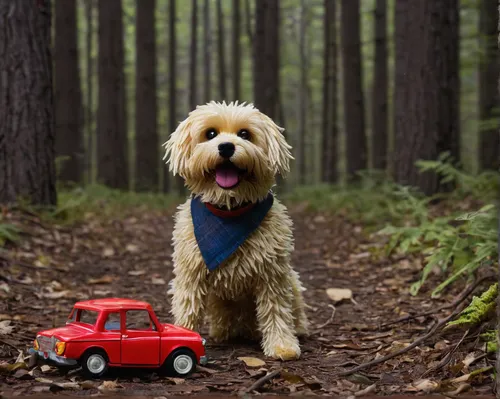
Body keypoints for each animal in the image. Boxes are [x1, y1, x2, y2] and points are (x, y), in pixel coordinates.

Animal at [163, 101, 308, 360]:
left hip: (292, 281)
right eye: (210, 134)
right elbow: (188, 307)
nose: (227, 146)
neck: (229, 210)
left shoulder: (272, 273)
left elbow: (276, 310)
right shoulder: (191, 272)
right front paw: (182, 335)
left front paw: (282, 345)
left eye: (244, 134)